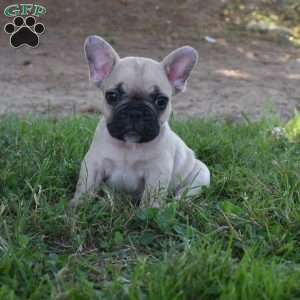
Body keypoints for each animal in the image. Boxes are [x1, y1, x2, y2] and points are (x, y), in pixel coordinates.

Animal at [70, 35, 210, 209]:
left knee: (185, 194)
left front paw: (148, 212)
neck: (129, 146)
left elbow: (151, 197)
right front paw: (76, 206)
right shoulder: (94, 163)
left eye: (161, 101)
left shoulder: (157, 172)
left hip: (201, 175)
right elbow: (85, 186)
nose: (135, 112)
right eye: (112, 96)